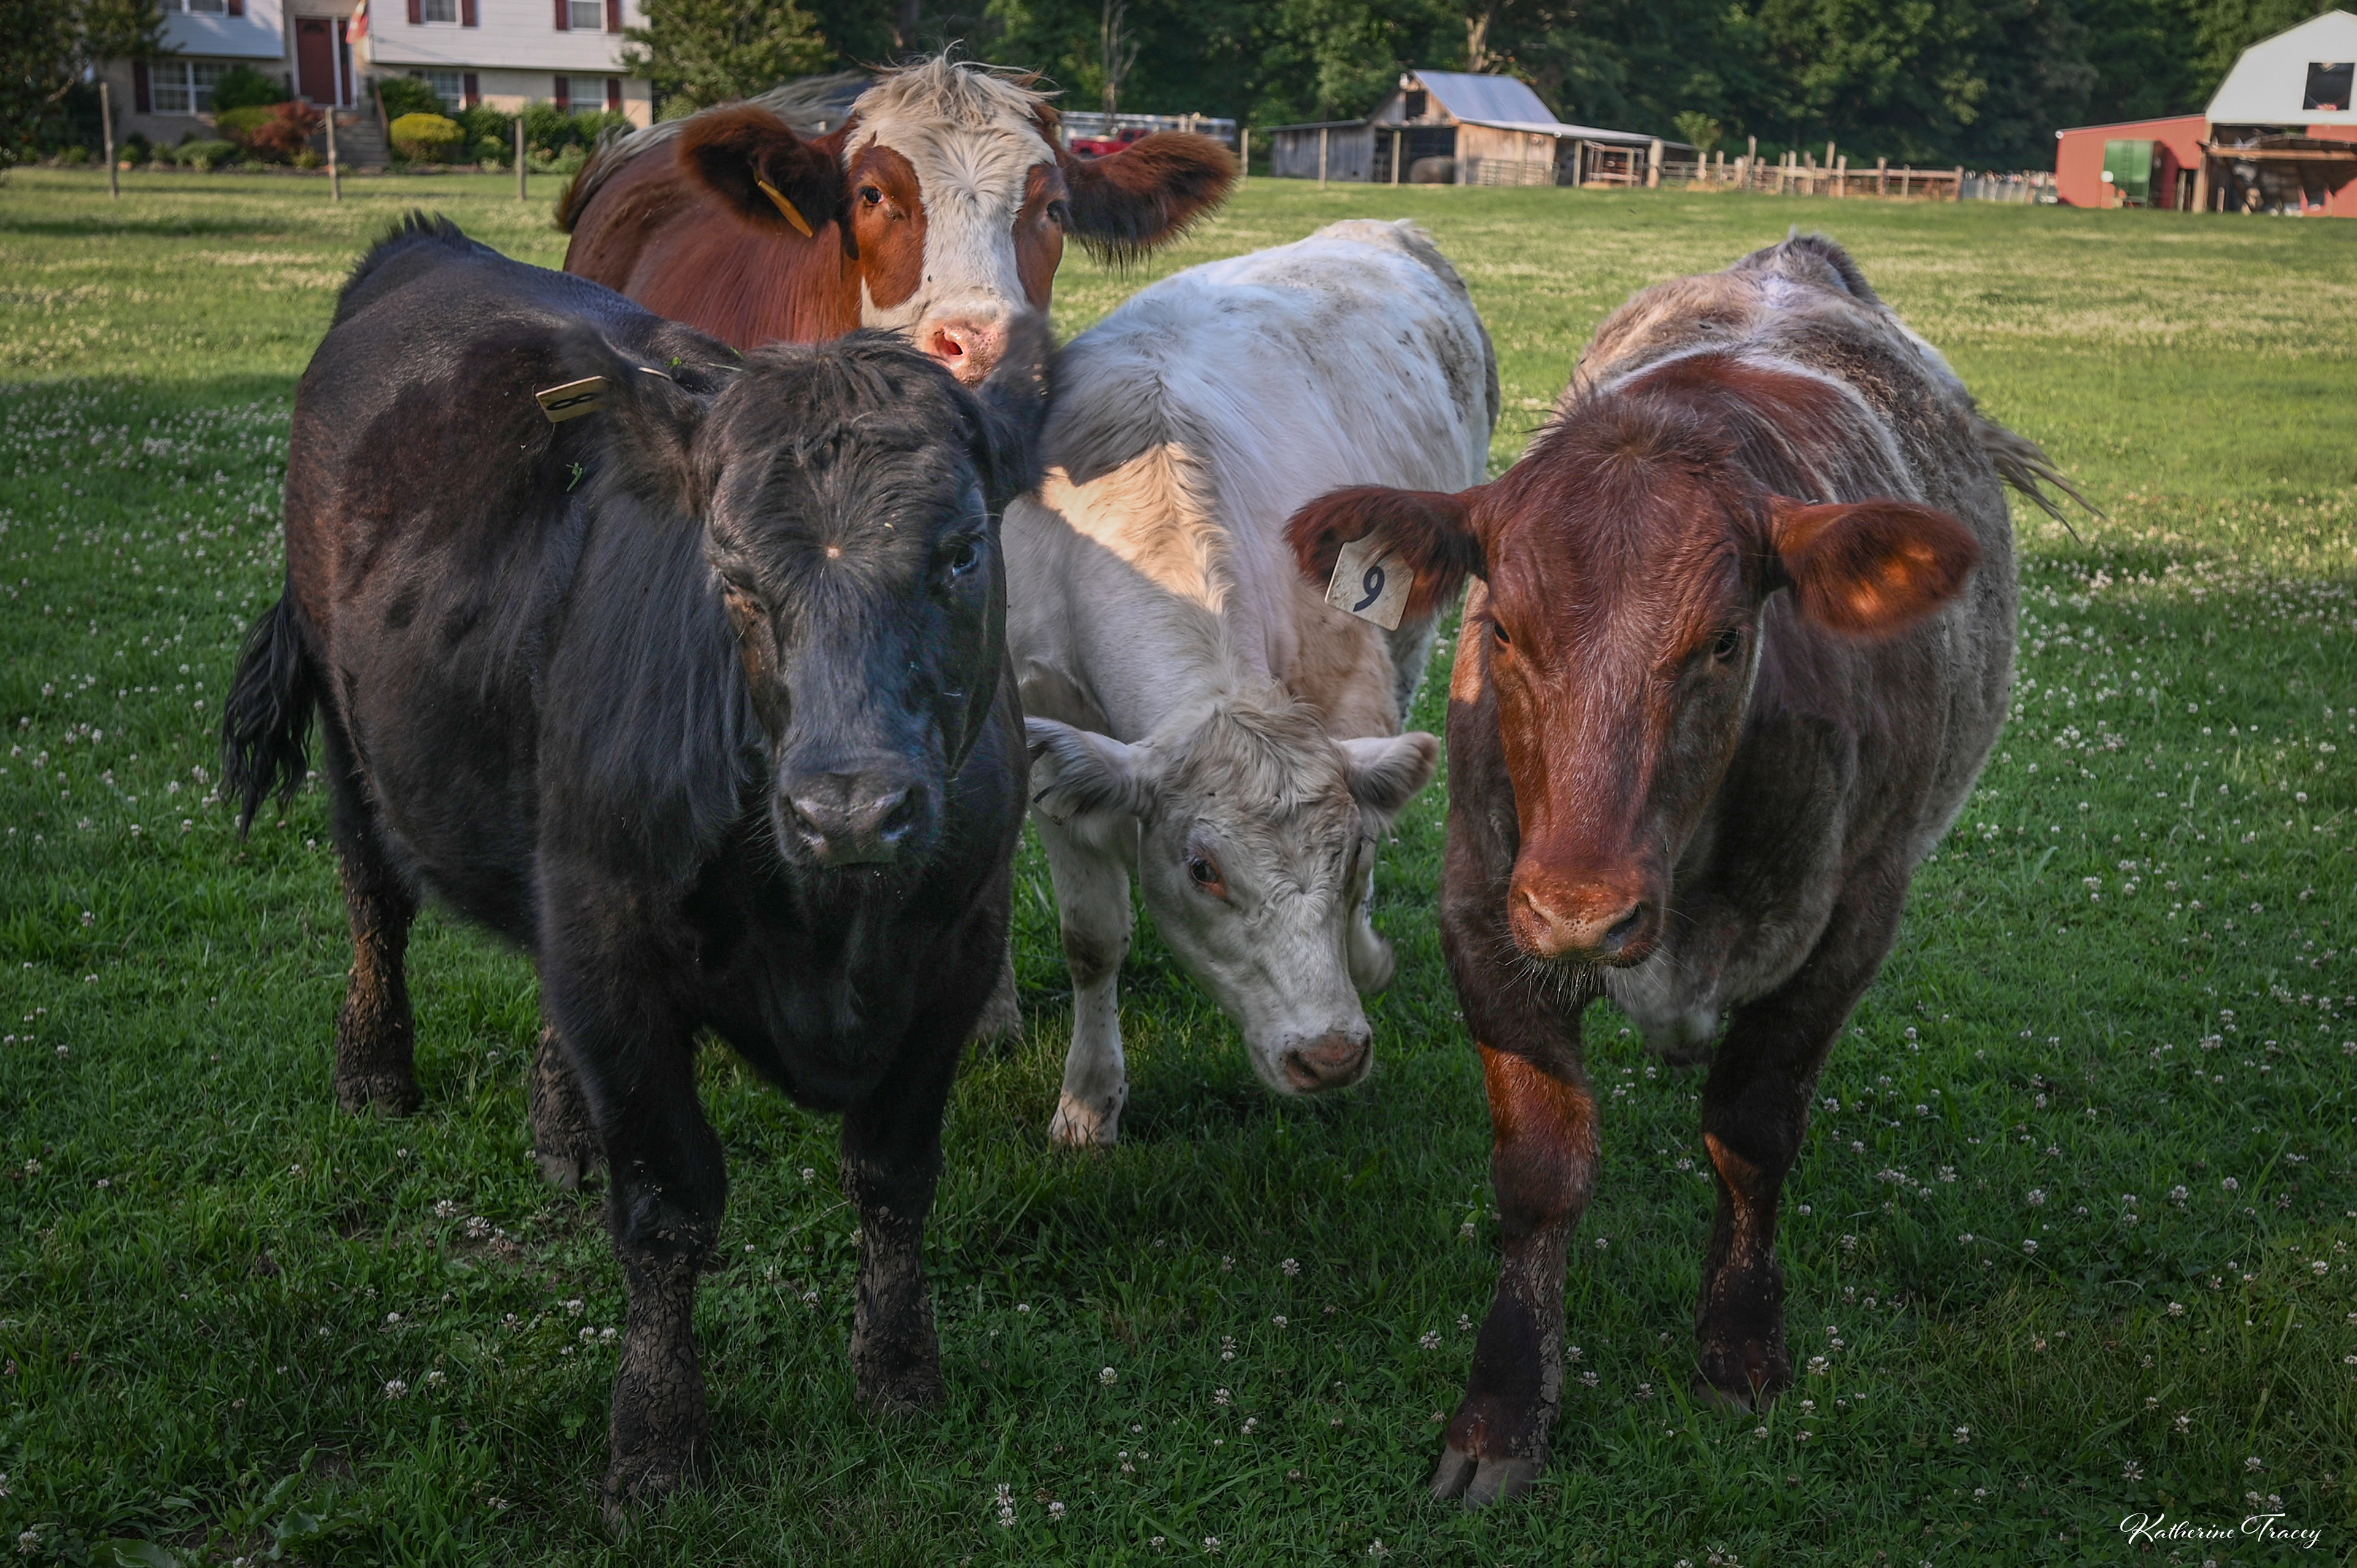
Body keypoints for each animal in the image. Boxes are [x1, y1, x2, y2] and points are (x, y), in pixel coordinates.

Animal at [220, 215, 1047, 1511]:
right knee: (374, 905)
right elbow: (670, 1205)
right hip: (357, 740)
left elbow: (894, 1171)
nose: (852, 809)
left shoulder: (960, 940)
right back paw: (375, 1069)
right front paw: (656, 1441)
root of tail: (426, 250)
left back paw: (559, 1127)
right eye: (729, 571)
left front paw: (901, 1373)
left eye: (962, 553)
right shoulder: (616, 943)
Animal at [1007, 219, 1498, 1146]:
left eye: (1342, 850)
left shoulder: (1349, 688)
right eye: (1202, 867)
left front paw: (1365, 955)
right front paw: (1088, 1101)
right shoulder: (1048, 740)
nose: (1330, 1055)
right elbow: (1092, 937)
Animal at [1286, 234, 2085, 1506]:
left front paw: (1739, 1347)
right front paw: (1501, 1414)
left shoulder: (1853, 922)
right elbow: (1543, 1168)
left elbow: (1753, 1131)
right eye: (1500, 628)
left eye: (1722, 641)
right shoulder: (1483, 908)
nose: (1581, 908)